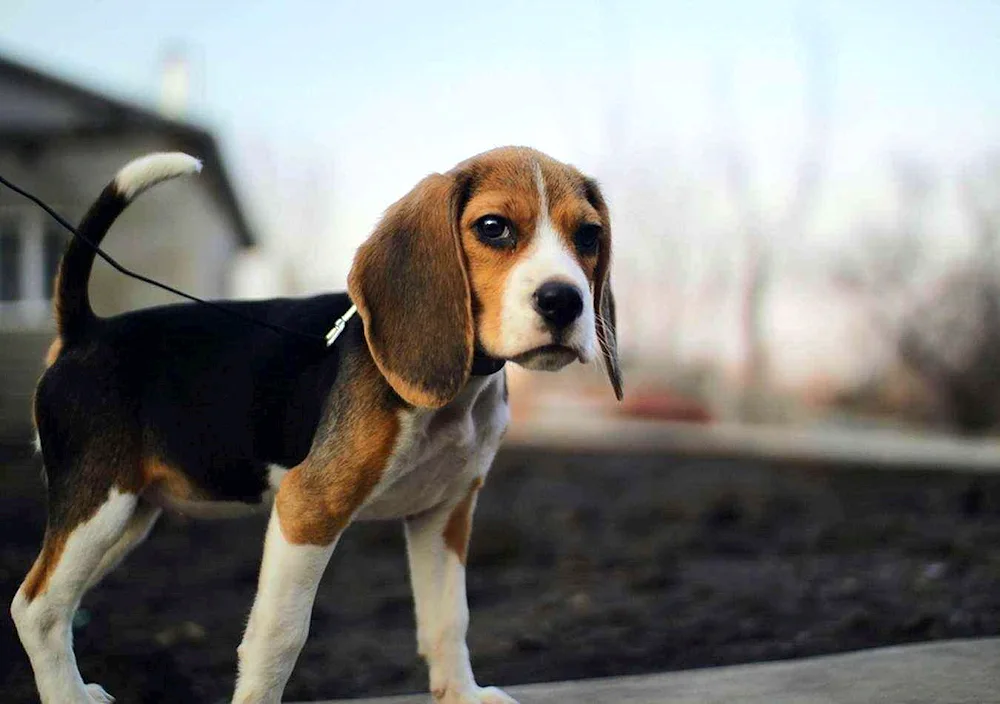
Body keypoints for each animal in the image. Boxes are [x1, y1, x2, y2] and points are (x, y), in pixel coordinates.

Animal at [11, 146, 620, 700]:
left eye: (589, 236)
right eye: (493, 228)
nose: (564, 301)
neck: (461, 390)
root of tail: (85, 330)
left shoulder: (444, 511)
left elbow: (449, 618)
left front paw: (463, 695)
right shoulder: (309, 506)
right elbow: (280, 636)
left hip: (127, 517)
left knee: (59, 603)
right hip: (98, 506)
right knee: (38, 609)